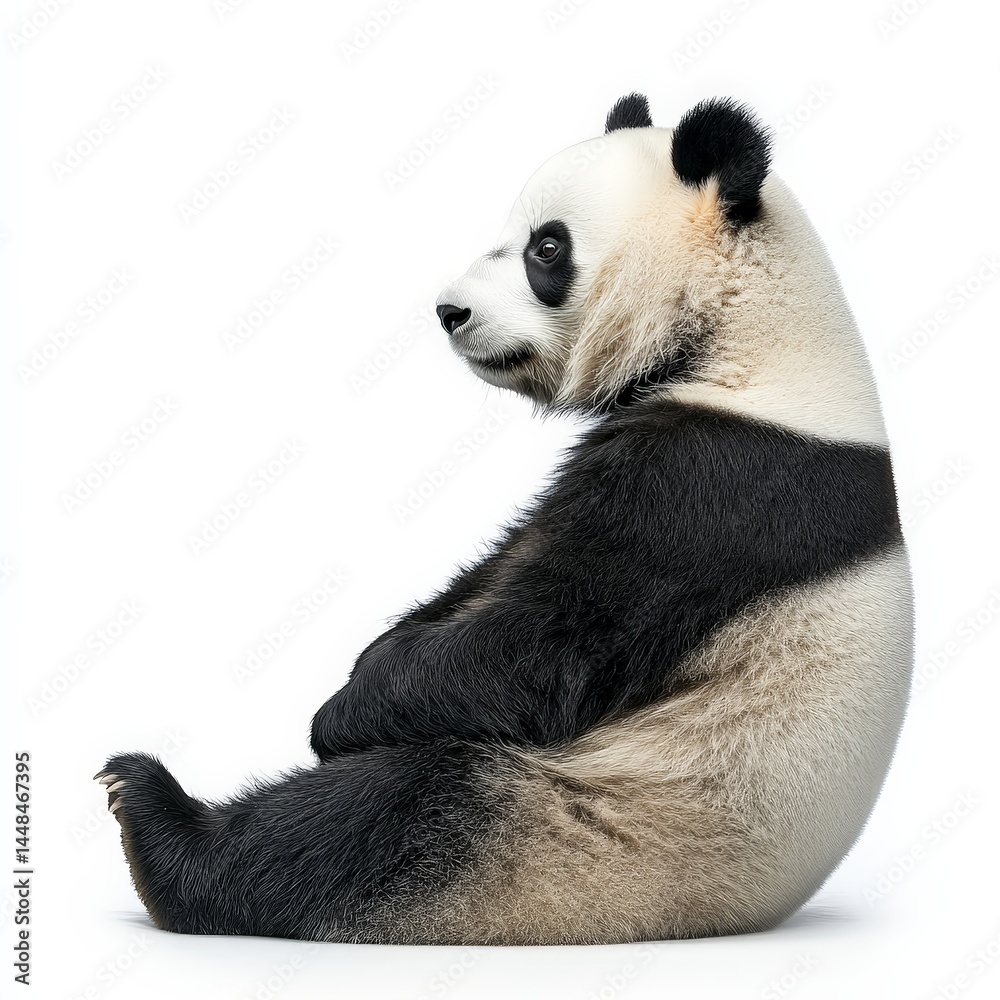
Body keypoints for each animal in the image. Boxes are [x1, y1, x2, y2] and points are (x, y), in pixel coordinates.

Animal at [97, 94, 913, 945]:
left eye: (545, 247)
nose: (448, 311)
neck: (749, 336)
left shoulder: (721, 484)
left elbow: (545, 644)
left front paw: (342, 710)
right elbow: (499, 568)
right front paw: (372, 656)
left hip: (593, 821)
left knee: (380, 818)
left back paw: (157, 824)